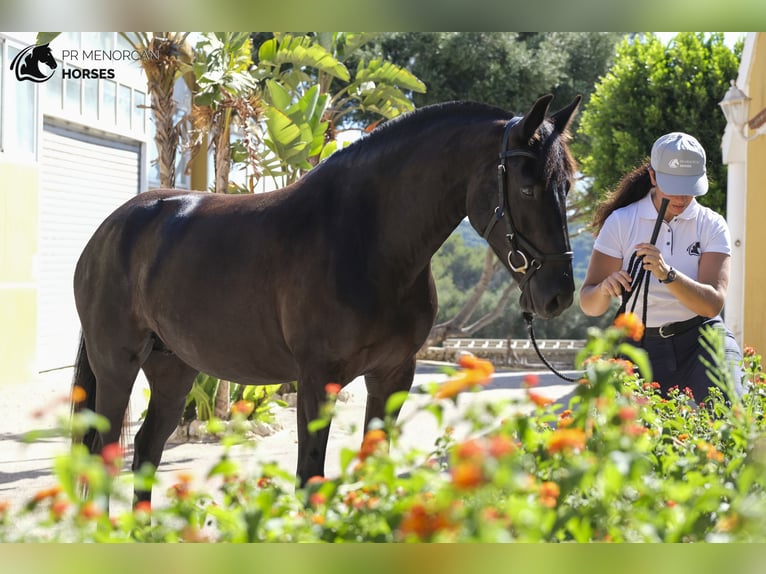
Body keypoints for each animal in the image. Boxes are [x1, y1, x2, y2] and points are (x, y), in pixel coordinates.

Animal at [72, 94, 580, 503]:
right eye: (528, 187)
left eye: (567, 185)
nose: (559, 295)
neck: (366, 239)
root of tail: (109, 230)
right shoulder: (318, 379)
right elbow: (309, 478)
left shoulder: (393, 374)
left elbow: (374, 466)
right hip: (116, 365)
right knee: (102, 456)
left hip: (174, 368)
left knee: (146, 452)